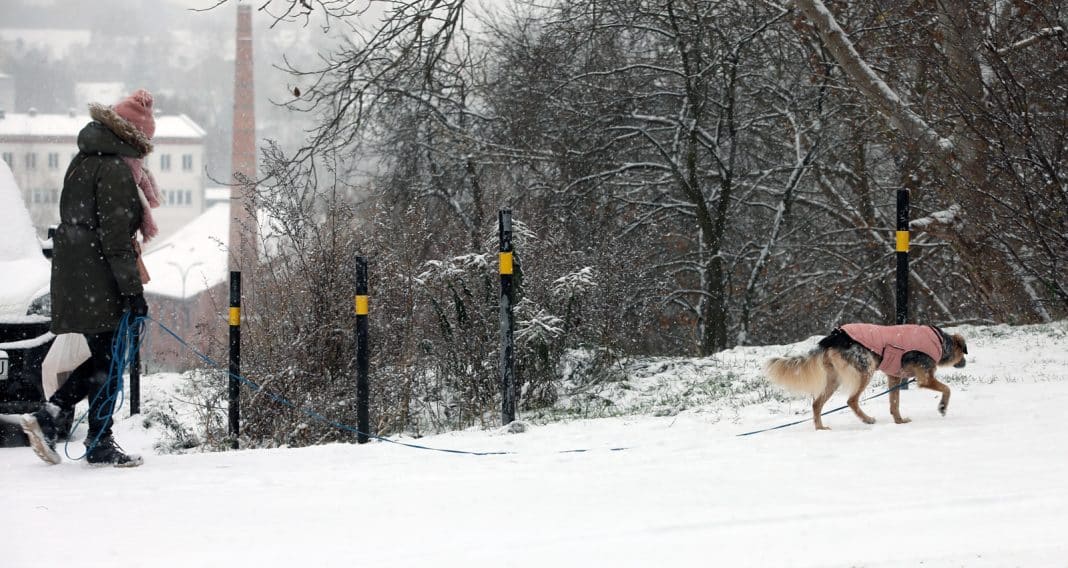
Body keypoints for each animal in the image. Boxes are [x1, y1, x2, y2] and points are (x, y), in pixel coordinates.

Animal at [764, 324, 965, 431]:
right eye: (963, 352)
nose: (964, 363)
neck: (940, 341)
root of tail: (835, 335)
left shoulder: (894, 377)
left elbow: (894, 403)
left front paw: (899, 421)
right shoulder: (925, 378)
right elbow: (947, 389)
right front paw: (942, 407)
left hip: (834, 379)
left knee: (816, 403)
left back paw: (820, 428)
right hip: (866, 369)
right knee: (851, 400)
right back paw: (866, 419)